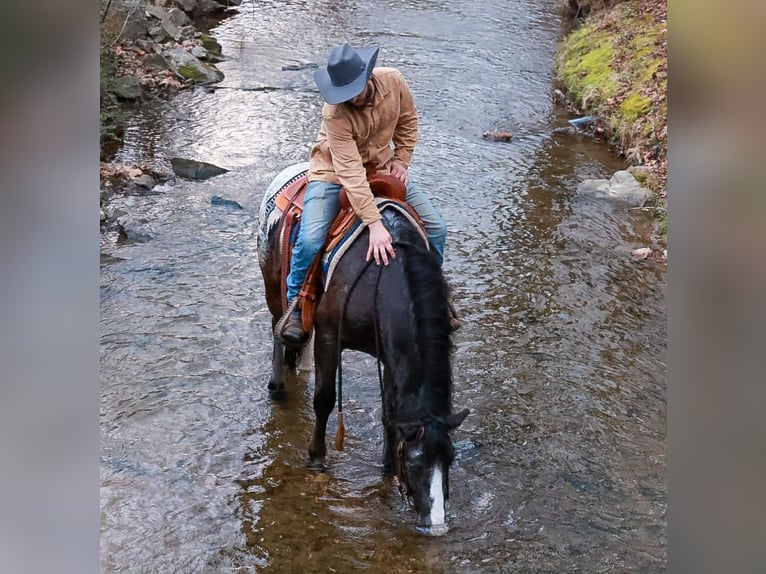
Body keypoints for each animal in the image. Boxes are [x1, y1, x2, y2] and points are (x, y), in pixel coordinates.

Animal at [257, 163, 469, 531]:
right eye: (415, 461)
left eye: (450, 459)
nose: (438, 525)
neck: (381, 277)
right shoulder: (330, 337)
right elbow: (324, 400)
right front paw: (316, 459)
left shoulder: (390, 352)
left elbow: (390, 413)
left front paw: (385, 467)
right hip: (274, 290)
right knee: (278, 331)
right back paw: (278, 387)